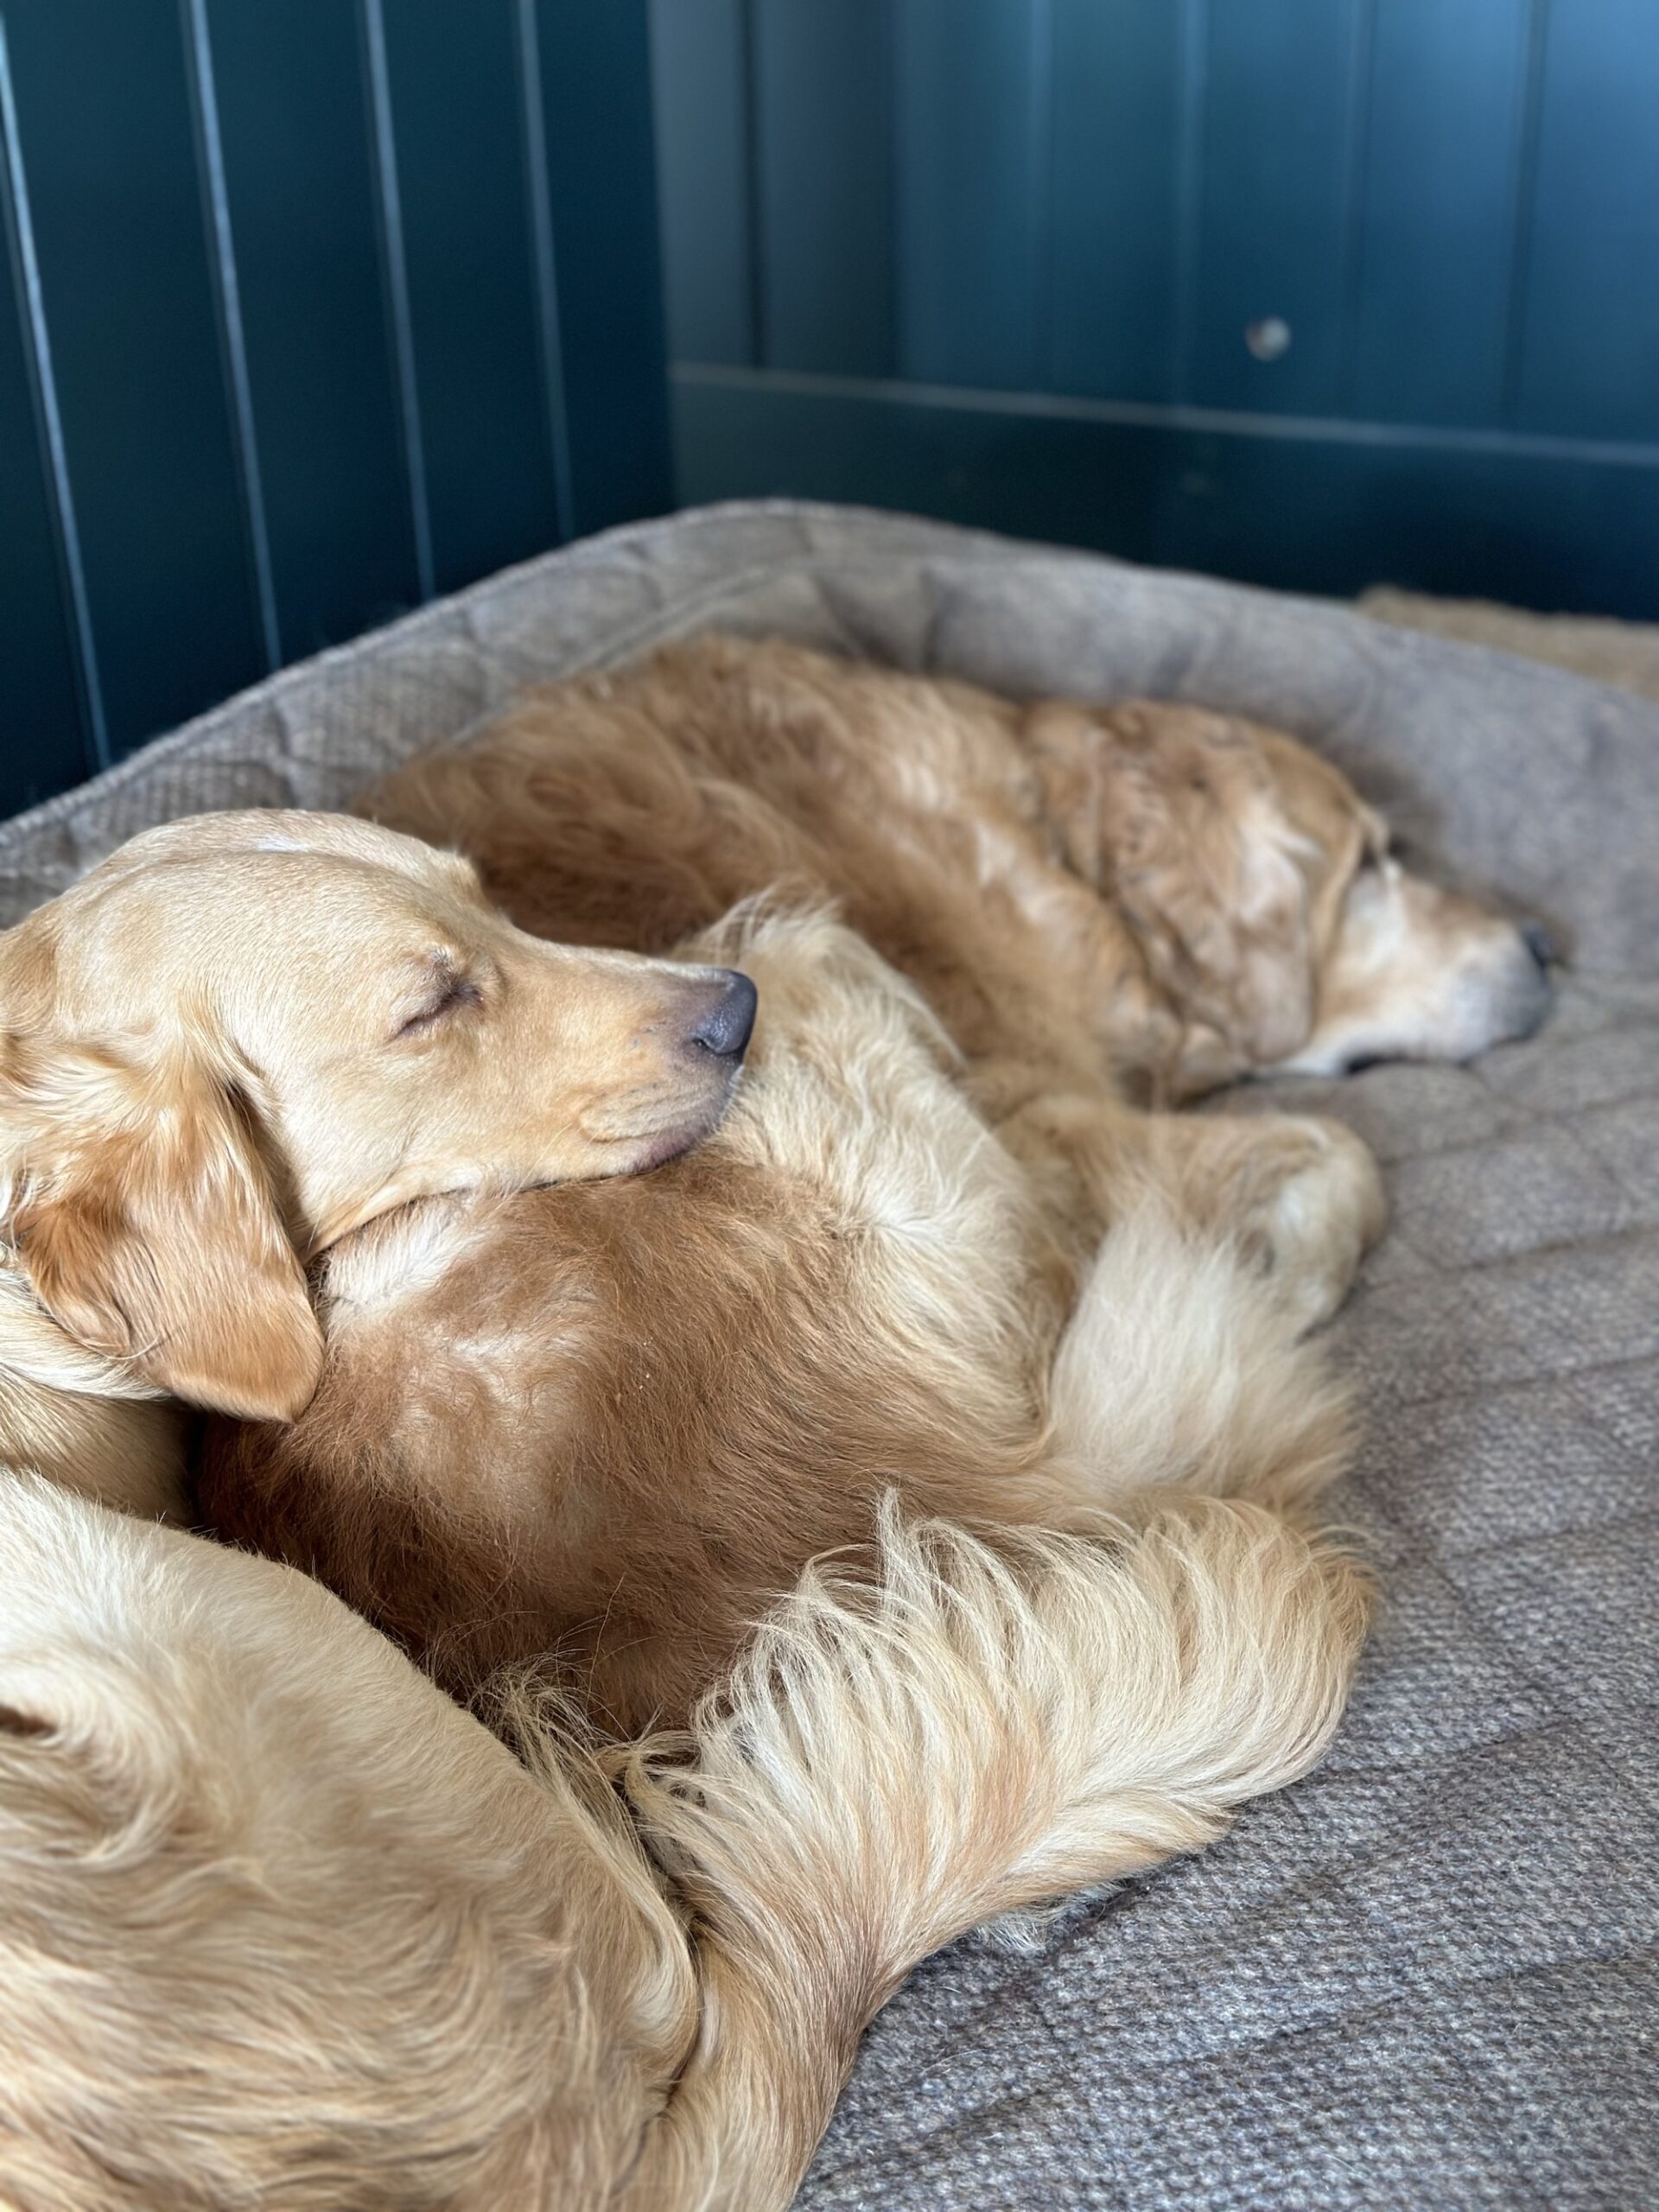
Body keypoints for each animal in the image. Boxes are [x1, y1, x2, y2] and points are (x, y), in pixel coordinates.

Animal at [0, 637, 1557, 2194]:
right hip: (813, 961)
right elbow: (1341, 1160)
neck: (1047, 822)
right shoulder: (1055, 1124)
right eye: (1375, 863)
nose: (1548, 950)